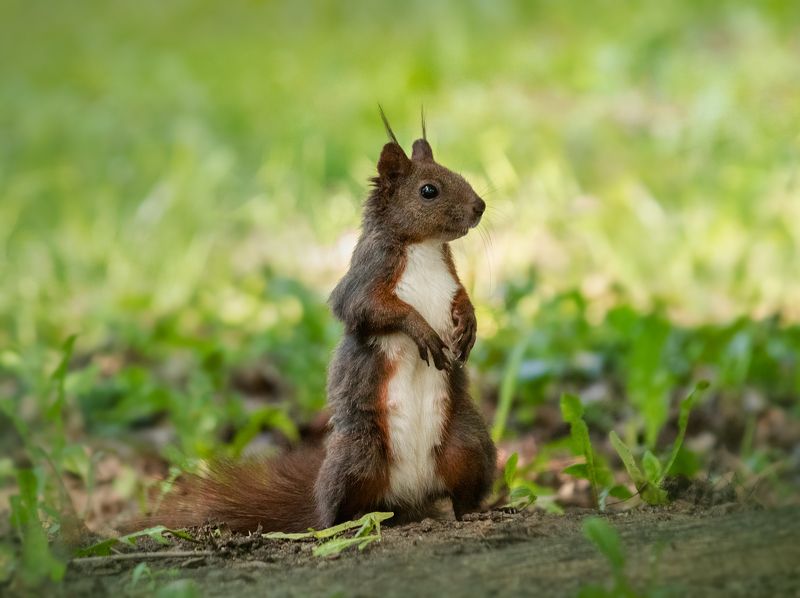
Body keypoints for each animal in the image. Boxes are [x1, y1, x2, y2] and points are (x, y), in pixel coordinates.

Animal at [155, 110, 497, 532]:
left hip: (468, 446)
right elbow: (372, 310)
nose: (480, 206)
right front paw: (422, 330)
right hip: (358, 457)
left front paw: (469, 324)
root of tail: (410, 496)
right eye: (428, 191)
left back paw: (477, 512)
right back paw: (349, 525)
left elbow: (462, 296)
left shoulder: (451, 279)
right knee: (335, 512)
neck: (423, 247)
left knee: (464, 491)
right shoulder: (362, 281)